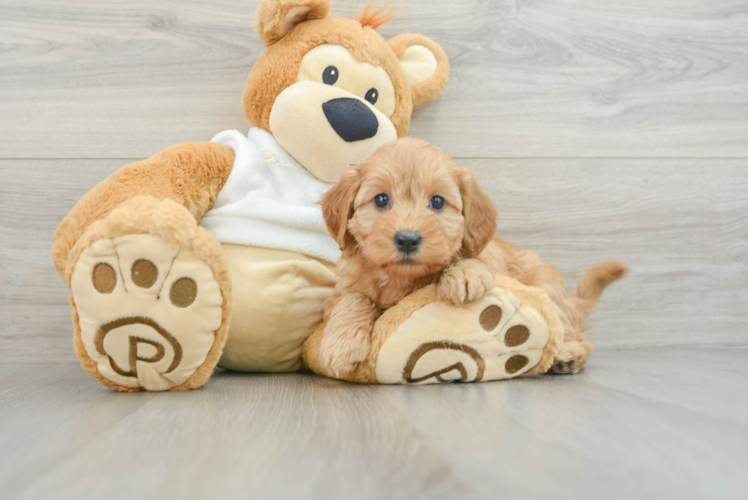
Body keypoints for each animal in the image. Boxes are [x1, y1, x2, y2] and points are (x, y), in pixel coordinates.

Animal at [318, 137, 624, 376]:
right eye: (381, 200)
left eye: (437, 202)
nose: (407, 239)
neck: (401, 279)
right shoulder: (340, 291)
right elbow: (354, 299)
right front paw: (339, 346)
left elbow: (469, 258)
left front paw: (464, 275)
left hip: (546, 285)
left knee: (573, 333)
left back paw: (568, 355)